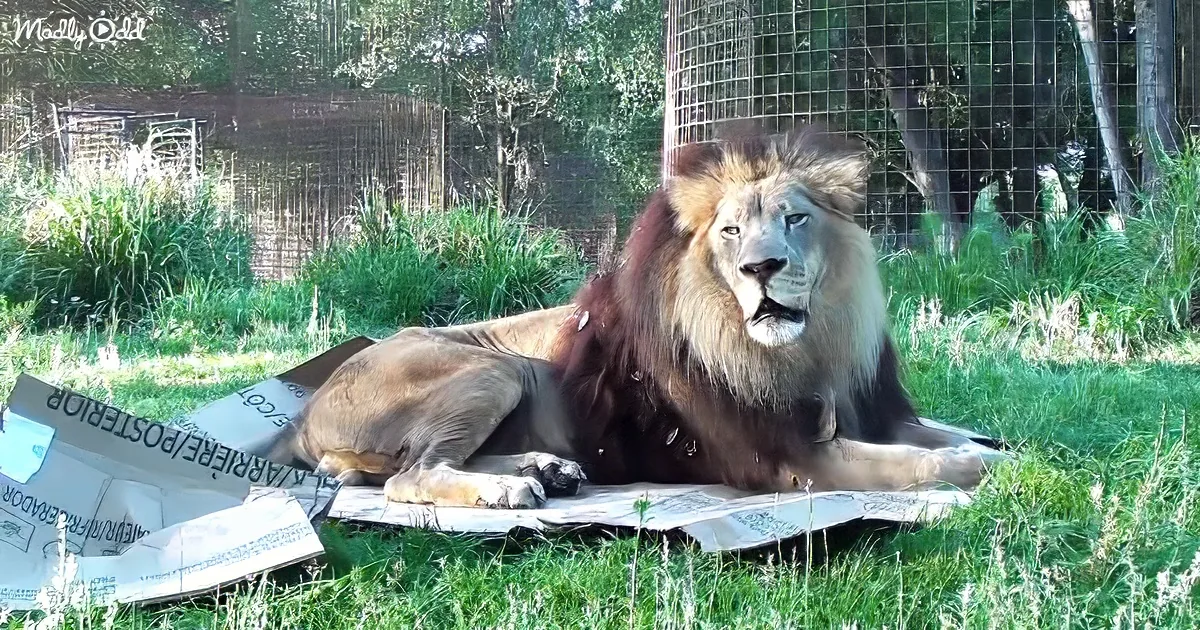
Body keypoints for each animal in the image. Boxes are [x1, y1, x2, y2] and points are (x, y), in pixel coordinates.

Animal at [260, 125, 1006, 509]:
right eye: (731, 231)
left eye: (795, 218)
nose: (761, 268)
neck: (810, 344)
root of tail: (305, 409)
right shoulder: (789, 458)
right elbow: (915, 463)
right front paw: (976, 467)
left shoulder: (871, 408)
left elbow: (941, 435)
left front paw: (1000, 448)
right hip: (489, 369)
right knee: (410, 474)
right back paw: (509, 488)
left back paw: (547, 469)